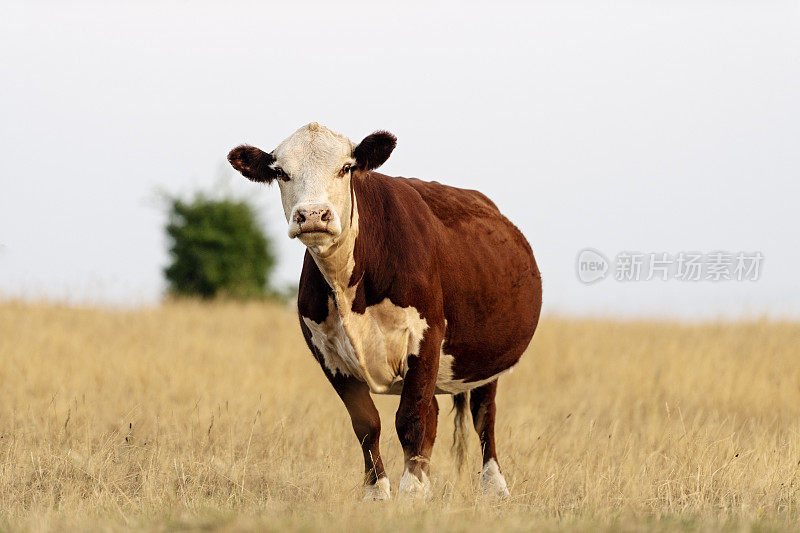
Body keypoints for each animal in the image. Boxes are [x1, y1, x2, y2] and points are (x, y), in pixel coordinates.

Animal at [230, 122, 544, 500]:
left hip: (484, 360)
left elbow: (410, 419)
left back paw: (493, 485)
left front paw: (411, 491)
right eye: (281, 172)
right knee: (435, 413)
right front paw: (378, 492)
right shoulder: (328, 355)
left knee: (484, 415)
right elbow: (367, 424)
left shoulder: (425, 338)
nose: (313, 215)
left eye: (346, 167)